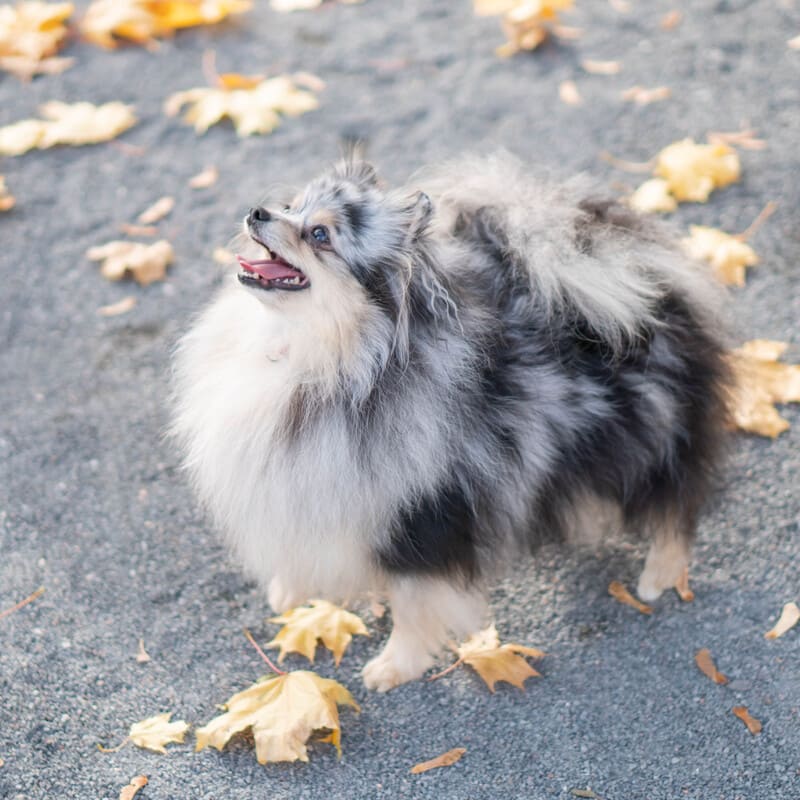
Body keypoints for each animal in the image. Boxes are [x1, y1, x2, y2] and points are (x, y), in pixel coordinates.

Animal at [173, 153, 732, 692]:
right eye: (291, 206)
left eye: (320, 235)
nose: (258, 212)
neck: (328, 359)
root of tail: (642, 273)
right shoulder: (315, 488)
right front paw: (289, 591)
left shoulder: (420, 516)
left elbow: (413, 600)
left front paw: (395, 666)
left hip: (648, 432)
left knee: (675, 501)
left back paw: (659, 575)